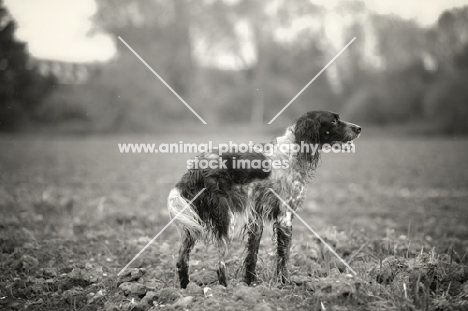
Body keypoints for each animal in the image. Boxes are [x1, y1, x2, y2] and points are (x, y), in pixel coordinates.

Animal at [168, 111, 362, 288]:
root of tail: (195, 169)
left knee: (182, 260)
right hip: (225, 220)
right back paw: (225, 290)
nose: (359, 128)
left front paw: (250, 285)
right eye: (334, 121)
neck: (294, 151)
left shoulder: (256, 219)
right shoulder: (285, 217)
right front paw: (284, 284)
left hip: (193, 224)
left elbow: (252, 257)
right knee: (219, 265)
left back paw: (186, 289)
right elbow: (283, 257)